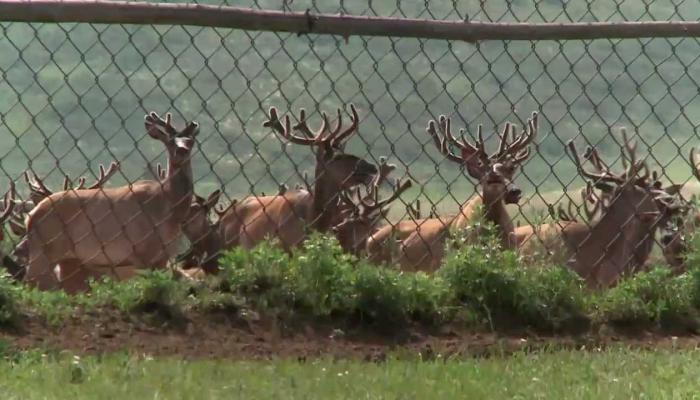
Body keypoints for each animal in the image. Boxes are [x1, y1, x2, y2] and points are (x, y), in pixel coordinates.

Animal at [24, 111, 198, 292]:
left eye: (190, 141)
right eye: (170, 141)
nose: (182, 150)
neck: (170, 209)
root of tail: (30, 217)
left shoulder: (164, 257)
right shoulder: (144, 253)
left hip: (68, 259)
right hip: (44, 250)